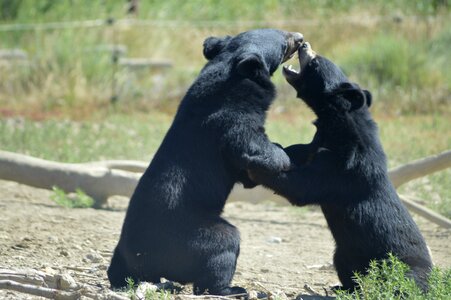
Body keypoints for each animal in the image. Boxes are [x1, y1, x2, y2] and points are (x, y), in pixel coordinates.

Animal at [107, 29, 304, 296]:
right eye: (284, 41)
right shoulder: (230, 120)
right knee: (224, 246)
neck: (230, 70)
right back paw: (230, 289)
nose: (300, 38)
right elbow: (251, 146)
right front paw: (284, 157)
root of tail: (141, 261)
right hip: (191, 236)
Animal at [251, 41, 434, 290]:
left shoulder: (344, 167)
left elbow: (304, 187)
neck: (336, 124)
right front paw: (272, 147)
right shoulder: (318, 142)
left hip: (401, 267)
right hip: (342, 252)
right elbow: (298, 151)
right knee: (346, 269)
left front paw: (254, 163)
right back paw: (341, 288)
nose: (303, 43)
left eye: (316, 62)